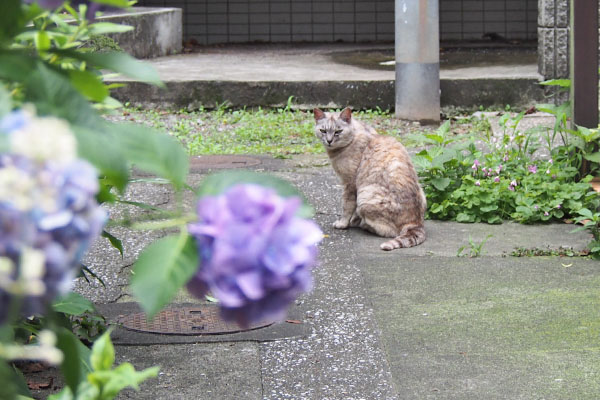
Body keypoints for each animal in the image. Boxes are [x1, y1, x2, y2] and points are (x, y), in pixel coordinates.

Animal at [314, 106, 426, 250]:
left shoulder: (350, 184)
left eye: (338, 131)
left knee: (389, 231)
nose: (329, 141)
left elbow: (347, 206)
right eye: (323, 131)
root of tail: (415, 222)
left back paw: (365, 225)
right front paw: (353, 220)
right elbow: (353, 210)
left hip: (365, 196)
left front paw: (343, 223)